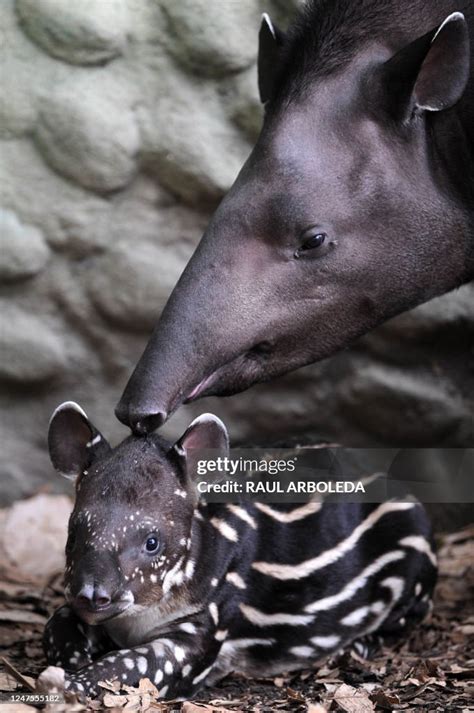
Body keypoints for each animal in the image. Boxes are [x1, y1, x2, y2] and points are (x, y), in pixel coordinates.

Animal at [39, 404, 436, 700]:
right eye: (73, 532)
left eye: (152, 542)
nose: (93, 594)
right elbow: (57, 621)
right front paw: (72, 659)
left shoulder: (205, 626)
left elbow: (133, 665)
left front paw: (72, 683)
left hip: (415, 552)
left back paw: (358, 647)